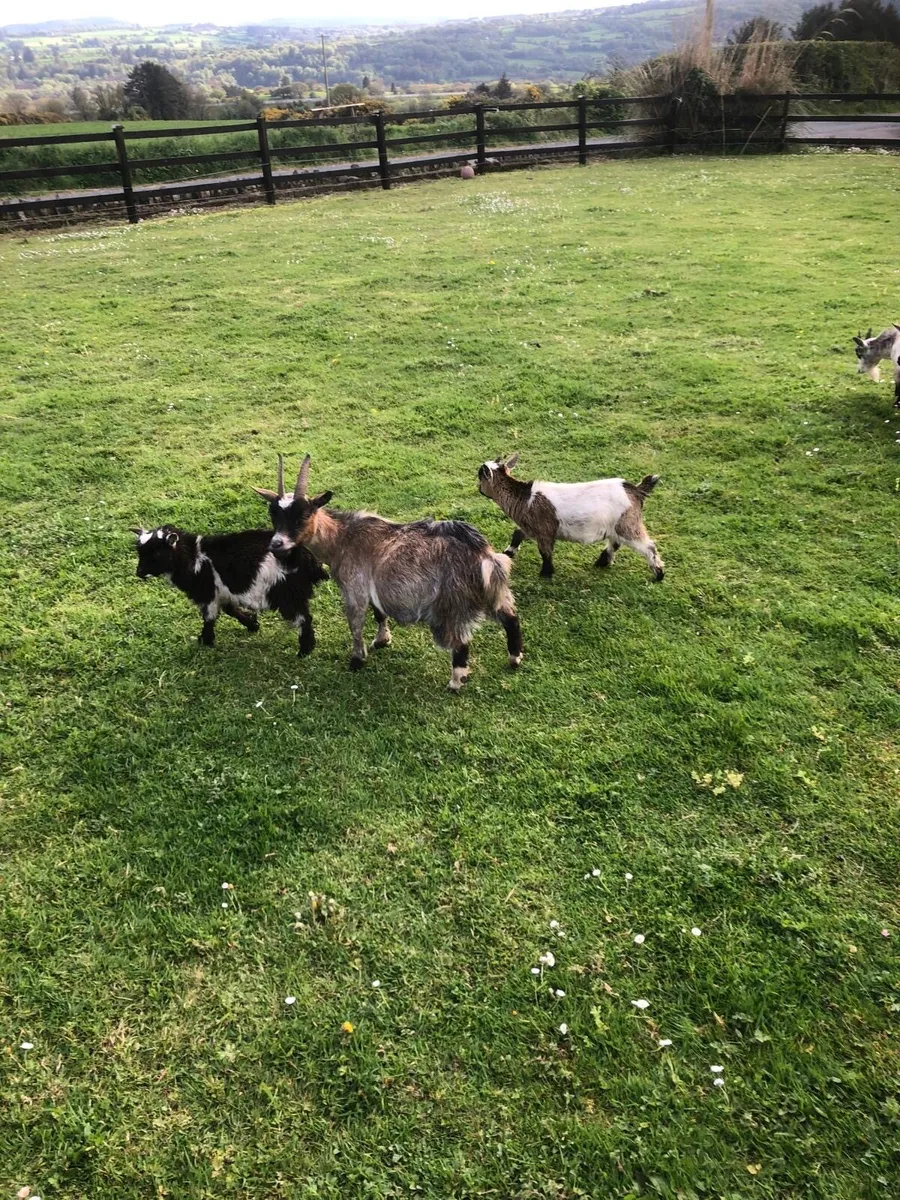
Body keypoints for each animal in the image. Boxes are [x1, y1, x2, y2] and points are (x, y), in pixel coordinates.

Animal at [132, 522, 327, 653]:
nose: (139, 572)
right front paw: (252, 624)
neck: (194, 557)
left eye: (157, 553)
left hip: (287, 592)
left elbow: (209, 617)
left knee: (303, 618)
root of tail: (308, 559)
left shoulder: (208, 594)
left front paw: (205, 640)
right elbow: (231, 610)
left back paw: (305, 650)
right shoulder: (223, 593)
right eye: (140, 552)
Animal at [253, 455, 523, 691]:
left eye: (303, 514)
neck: (342, 538)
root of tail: (482, 556)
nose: (276, 544)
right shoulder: (374, 585)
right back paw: (515, 658)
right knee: (510, 617)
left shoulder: (353, 588)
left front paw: (356, 660)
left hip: (451, 602)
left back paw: (456, 682)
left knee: (460, 641)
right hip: (494, 591)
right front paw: (382, 640)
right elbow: (379, 613)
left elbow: (355, 624)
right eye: (273, 514)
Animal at [477, 453, 664, 581]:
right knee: (615, 542)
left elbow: (545, 552)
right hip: (616, 525)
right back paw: (602, 562)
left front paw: (546, 573)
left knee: (648, 546)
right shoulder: (530, 526)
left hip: (628, 524)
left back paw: (659, 574)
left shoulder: (544, 530)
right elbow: (517, 534)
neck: (525, 498)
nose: (478, 489)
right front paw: (508, 553)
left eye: (480, 477)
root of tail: (636, 490)